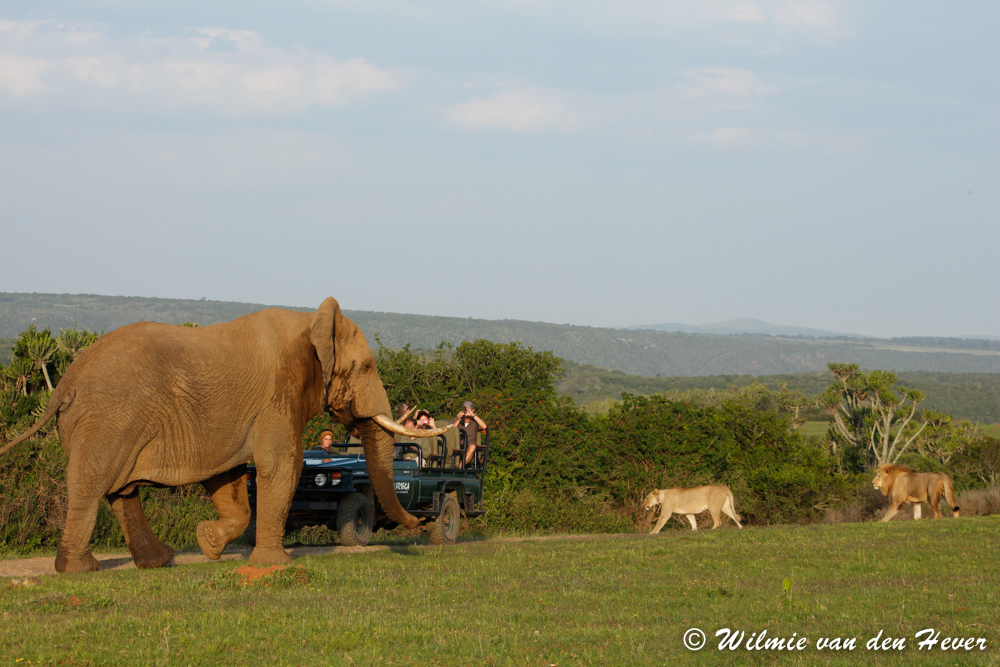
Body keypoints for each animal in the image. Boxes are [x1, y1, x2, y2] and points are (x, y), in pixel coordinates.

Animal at [0, 298, 446, 576]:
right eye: (366, 366)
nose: (424, 521)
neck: (310, 322)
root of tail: (66, 379)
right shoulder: (277, 394)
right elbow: (281, 466)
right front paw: (276, 564)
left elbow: (229, 478)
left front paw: (208, 544)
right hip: (107, 418)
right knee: (93, 484)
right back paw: (80, 569)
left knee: (121, 492)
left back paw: (158, 562)